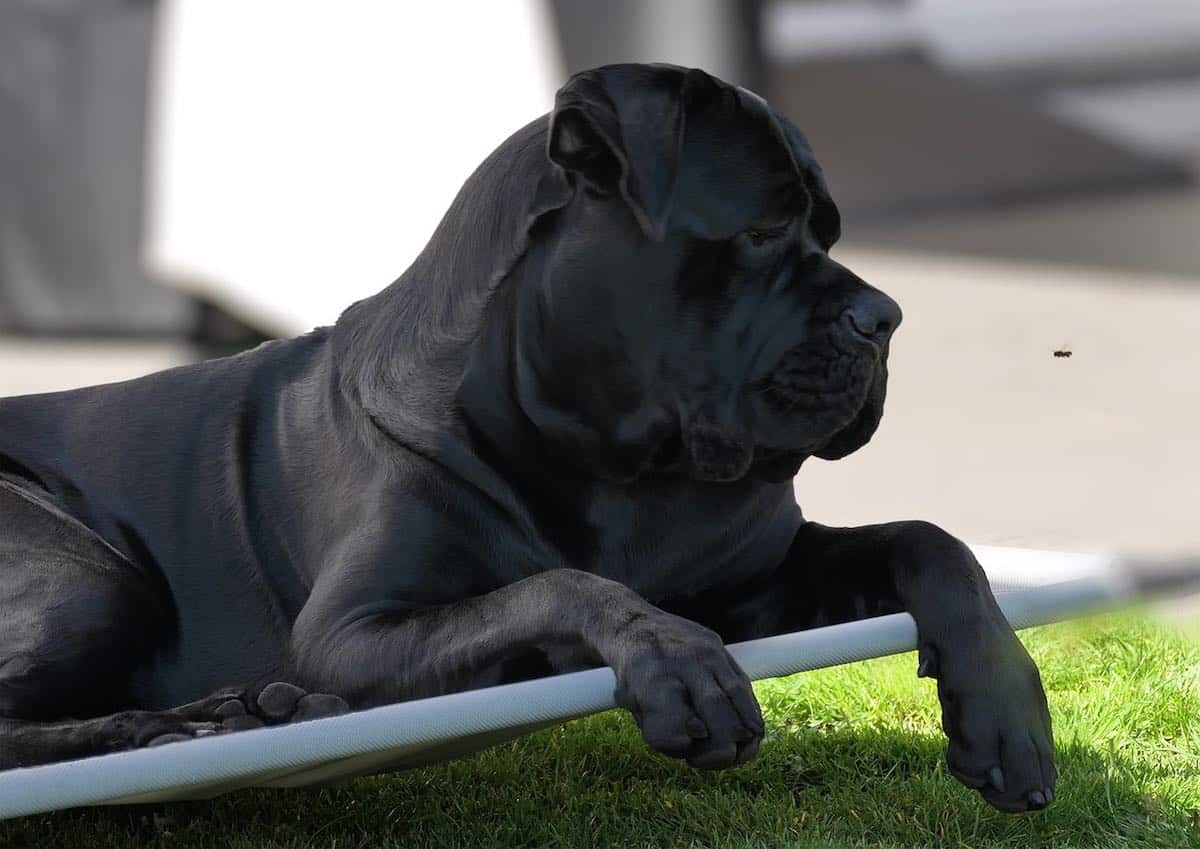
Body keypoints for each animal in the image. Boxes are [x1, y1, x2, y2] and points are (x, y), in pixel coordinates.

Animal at [0, 64, 1051, 810]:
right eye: (760, 231)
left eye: (827, 231)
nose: (886, 317)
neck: (618, 463)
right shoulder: (349, 632)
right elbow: (554, 585)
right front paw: (674, 655)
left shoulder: (758, 576)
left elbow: (929, 539)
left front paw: (1007, 707)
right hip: (88, 573)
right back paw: (166, 731)